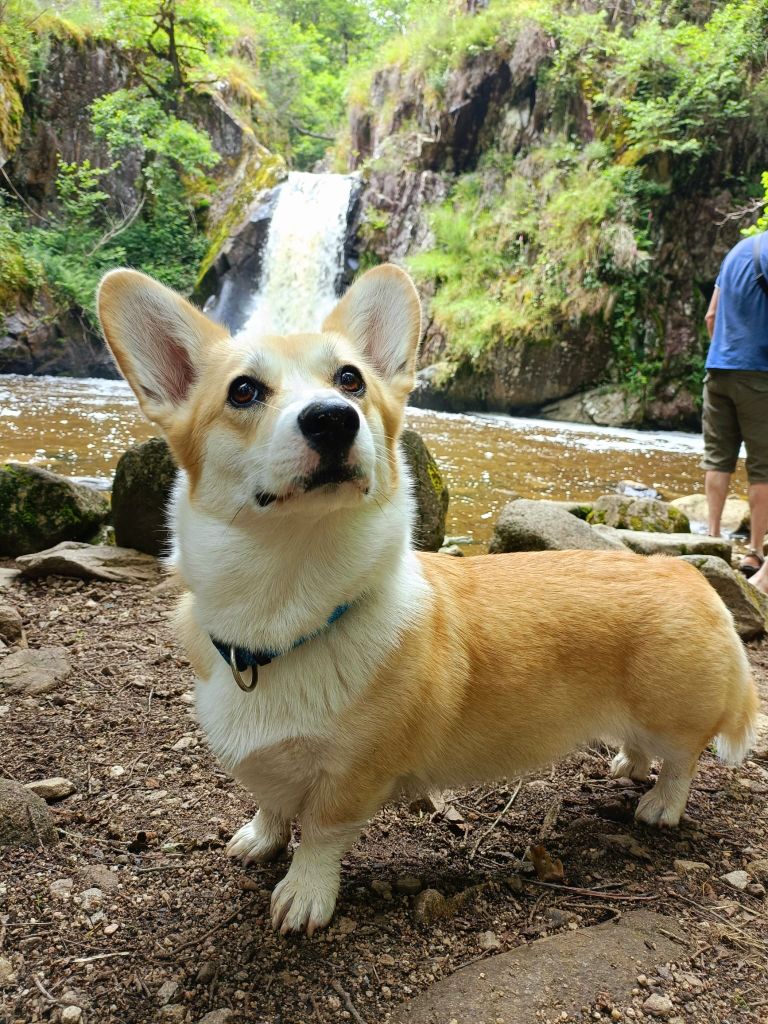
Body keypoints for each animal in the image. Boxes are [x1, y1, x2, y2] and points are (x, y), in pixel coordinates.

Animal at [97, 262, 765, 937]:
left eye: (350, 379)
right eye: (242, 391)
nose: (334, 418)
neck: (287, 607)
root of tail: (689, 576)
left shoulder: (353, 773)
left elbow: (320, 833)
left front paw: (304, 894)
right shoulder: (268, 763)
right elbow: (271, 803)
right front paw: (260, 838)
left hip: (673, 712)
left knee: (683, 759)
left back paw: (660, 803)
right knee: (643, 745)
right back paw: (628, 763)